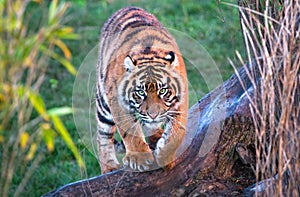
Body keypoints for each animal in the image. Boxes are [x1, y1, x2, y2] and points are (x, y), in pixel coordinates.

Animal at [96, 6, 188, 173]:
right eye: (140, 92)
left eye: (162, 91)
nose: (153, 115)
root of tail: (127, 7)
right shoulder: (117, 101)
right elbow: (129, 131)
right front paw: (139, 159)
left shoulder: (180, 102)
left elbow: (176, 132)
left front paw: (165, 157)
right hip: (103, 104)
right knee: (103, 135)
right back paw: (109, 167)